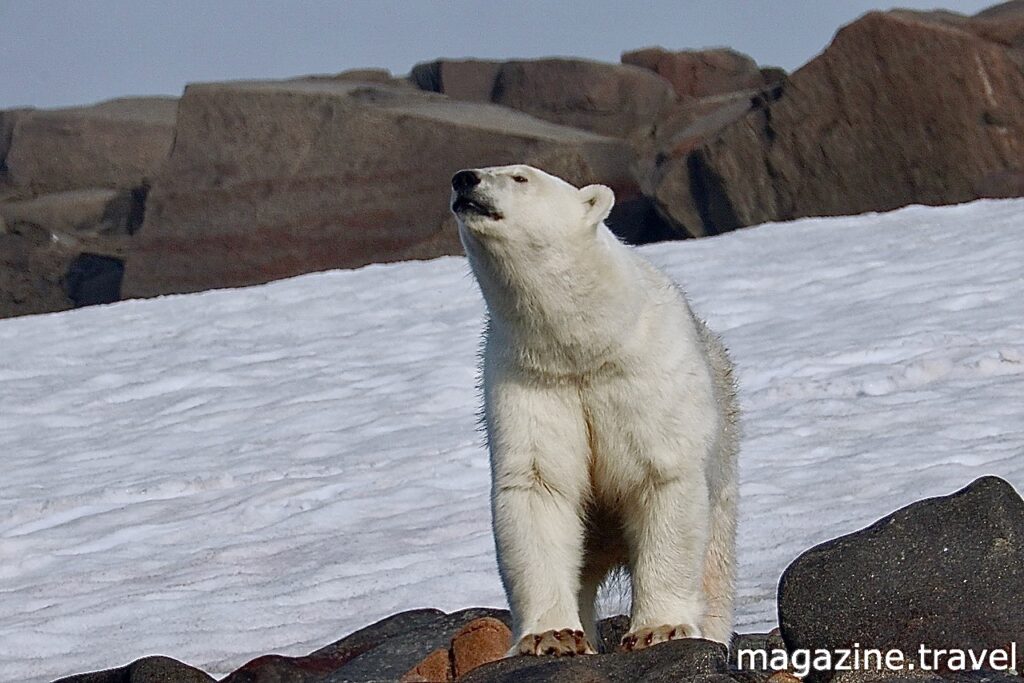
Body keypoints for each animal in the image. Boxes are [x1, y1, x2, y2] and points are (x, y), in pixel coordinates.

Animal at [452, 163, 741, 655]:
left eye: (521, 177)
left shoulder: (646, 374)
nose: (463, 179)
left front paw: (658, 628)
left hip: (724, 478)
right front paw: (550, 636)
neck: (585, 347)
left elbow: (662, 476)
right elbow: (538, 485)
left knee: (715, 566)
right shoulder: (531, 382)